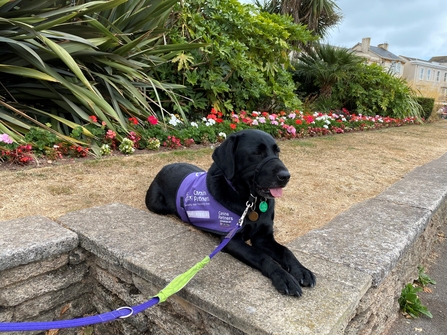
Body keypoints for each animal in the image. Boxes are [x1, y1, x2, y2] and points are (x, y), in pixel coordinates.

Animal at [145, 129, 316, 296]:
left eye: (277, 152)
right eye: (256, 153)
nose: (286, 176)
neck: (251, 201)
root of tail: (164, 167)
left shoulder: (263, 238)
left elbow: (286, 251)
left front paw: (301, 270)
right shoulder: (233, 240)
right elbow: (262, 256)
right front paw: (283, 277)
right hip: (156, 205)